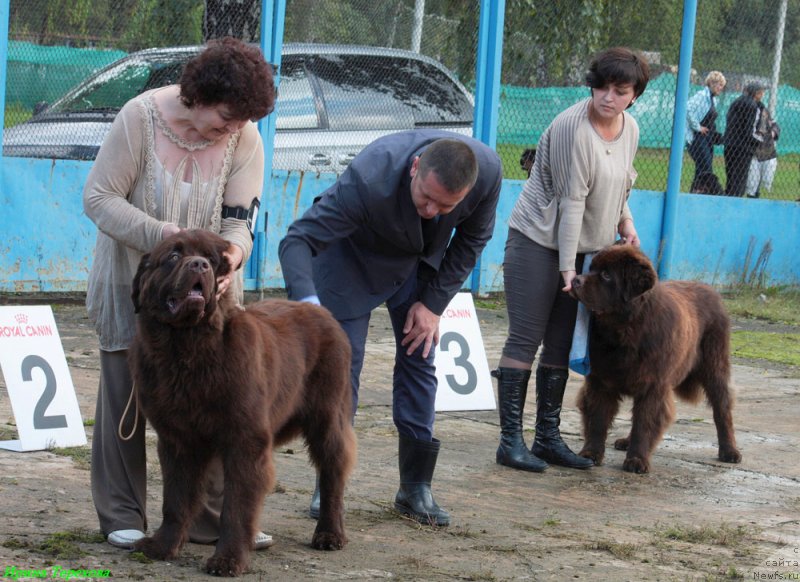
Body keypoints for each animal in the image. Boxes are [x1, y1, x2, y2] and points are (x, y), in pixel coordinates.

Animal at [130, 230, 354, 576]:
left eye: (212, 260)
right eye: (173, 256)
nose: (199, 264)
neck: (187, 350)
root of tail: (321, 311)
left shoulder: (245, 439)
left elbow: (236, 507)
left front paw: (228, 560)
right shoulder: (177, 439)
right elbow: (175, 499)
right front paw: (161, 546)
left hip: (327, 415)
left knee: (333, 469)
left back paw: (329, 534)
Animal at [572, 244, 740, 476]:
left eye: (606, 275)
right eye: (591, 269)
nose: (575, 280)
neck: (624, 330)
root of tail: (711, 290)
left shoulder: (653, 384)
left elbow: (645, 422)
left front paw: (637, 460)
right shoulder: (600, 380)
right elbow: (598, 419)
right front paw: (590, 454)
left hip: (715, 366)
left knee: (722, 410)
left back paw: (729, 451)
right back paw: (625, 441)